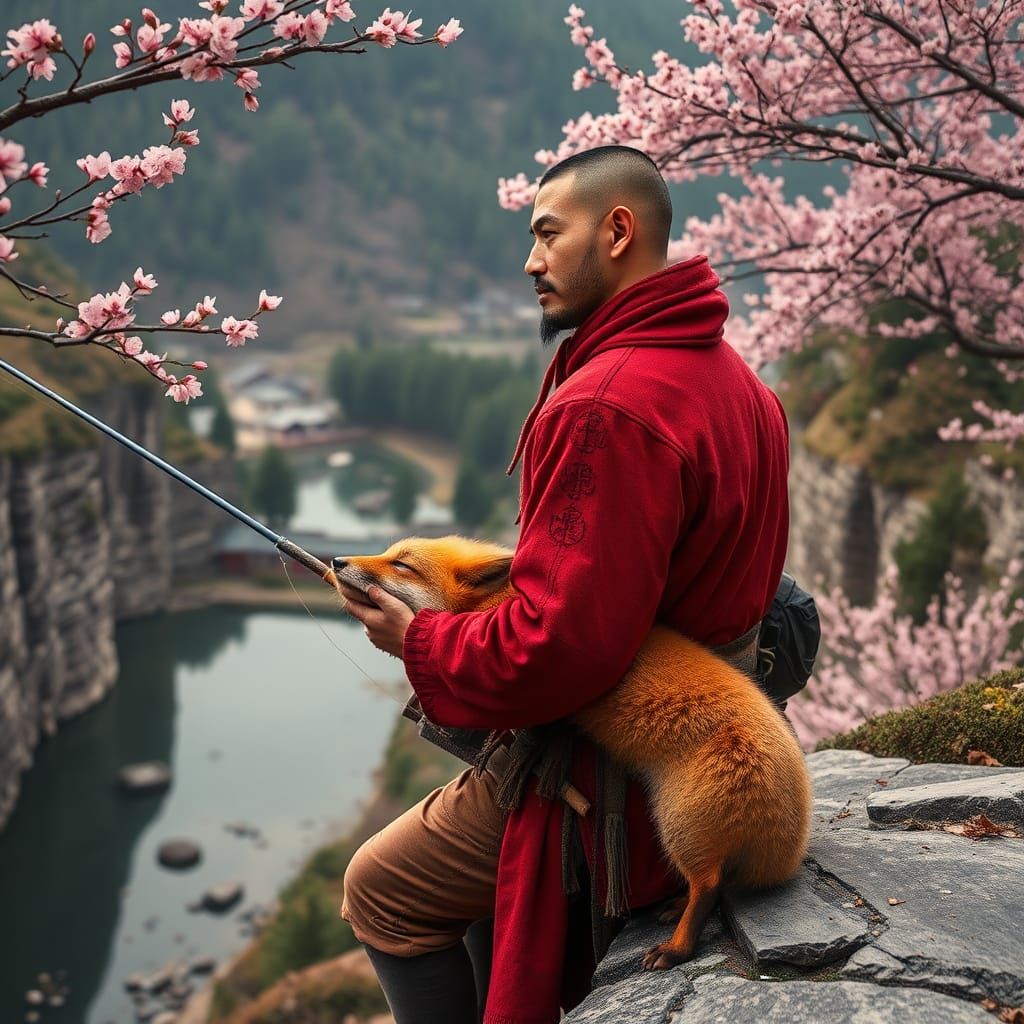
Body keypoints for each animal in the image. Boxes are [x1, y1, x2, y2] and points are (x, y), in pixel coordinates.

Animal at [331, 535, 813, 971]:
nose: (336, 560)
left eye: (402, 565)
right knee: (714, 886)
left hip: (678, 828)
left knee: (709, 887)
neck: (494, 607)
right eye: (387, 552)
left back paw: (676, 948)